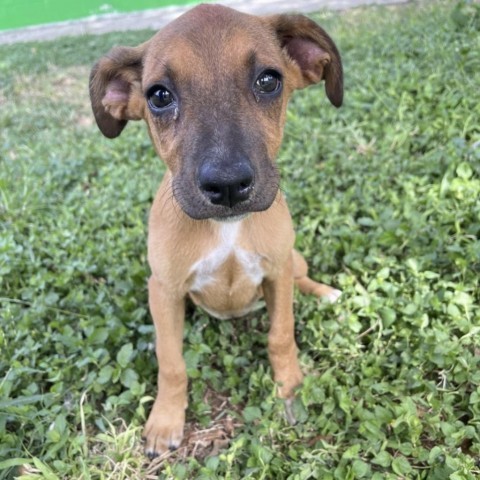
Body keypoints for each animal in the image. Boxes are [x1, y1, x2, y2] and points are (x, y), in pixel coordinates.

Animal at [90, 2, 344, 458]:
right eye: (159, 96)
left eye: (268, 80)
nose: (227, 185)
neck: (227, 230)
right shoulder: (164, 288)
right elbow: (171, 363)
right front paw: (165, 421)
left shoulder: (277, 272)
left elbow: (281, 336)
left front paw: (291, 389)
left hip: (293, 260)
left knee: (302, 278)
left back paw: (325, 292)